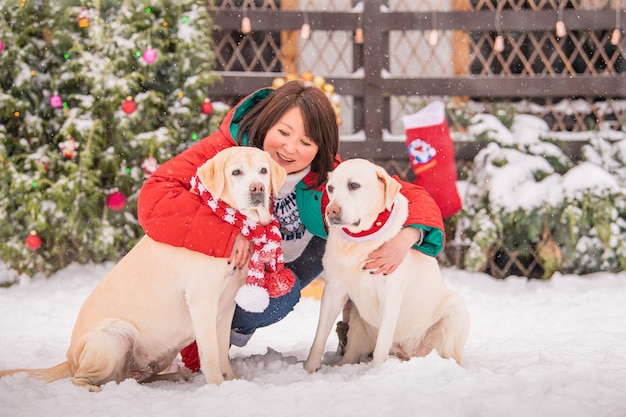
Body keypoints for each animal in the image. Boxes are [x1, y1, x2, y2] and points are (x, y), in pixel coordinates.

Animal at [0, 147, 286, 390]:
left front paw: (232, 381)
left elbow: (221, 350)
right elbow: (211, 353)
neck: (236, 222)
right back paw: (94, 389)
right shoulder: (202, 302)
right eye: (236, 172)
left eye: (263, 171)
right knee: (81, 379)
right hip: (113, 338)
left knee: (136, 377)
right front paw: (216, 387)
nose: (258, 188)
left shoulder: (226, 306)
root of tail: (70, 358)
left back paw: (174, 376)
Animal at [302, 158, 468, 370]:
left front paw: (376, 373)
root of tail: (405, 351)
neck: (361, 242)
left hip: (456, 309)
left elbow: (381, 346)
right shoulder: (333, 291)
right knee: (351, 354)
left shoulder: (390, 296)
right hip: (357, 321)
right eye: (330, 188)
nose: (331, 211)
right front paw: (309, 368)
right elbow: (319, 336)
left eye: (353, 185)